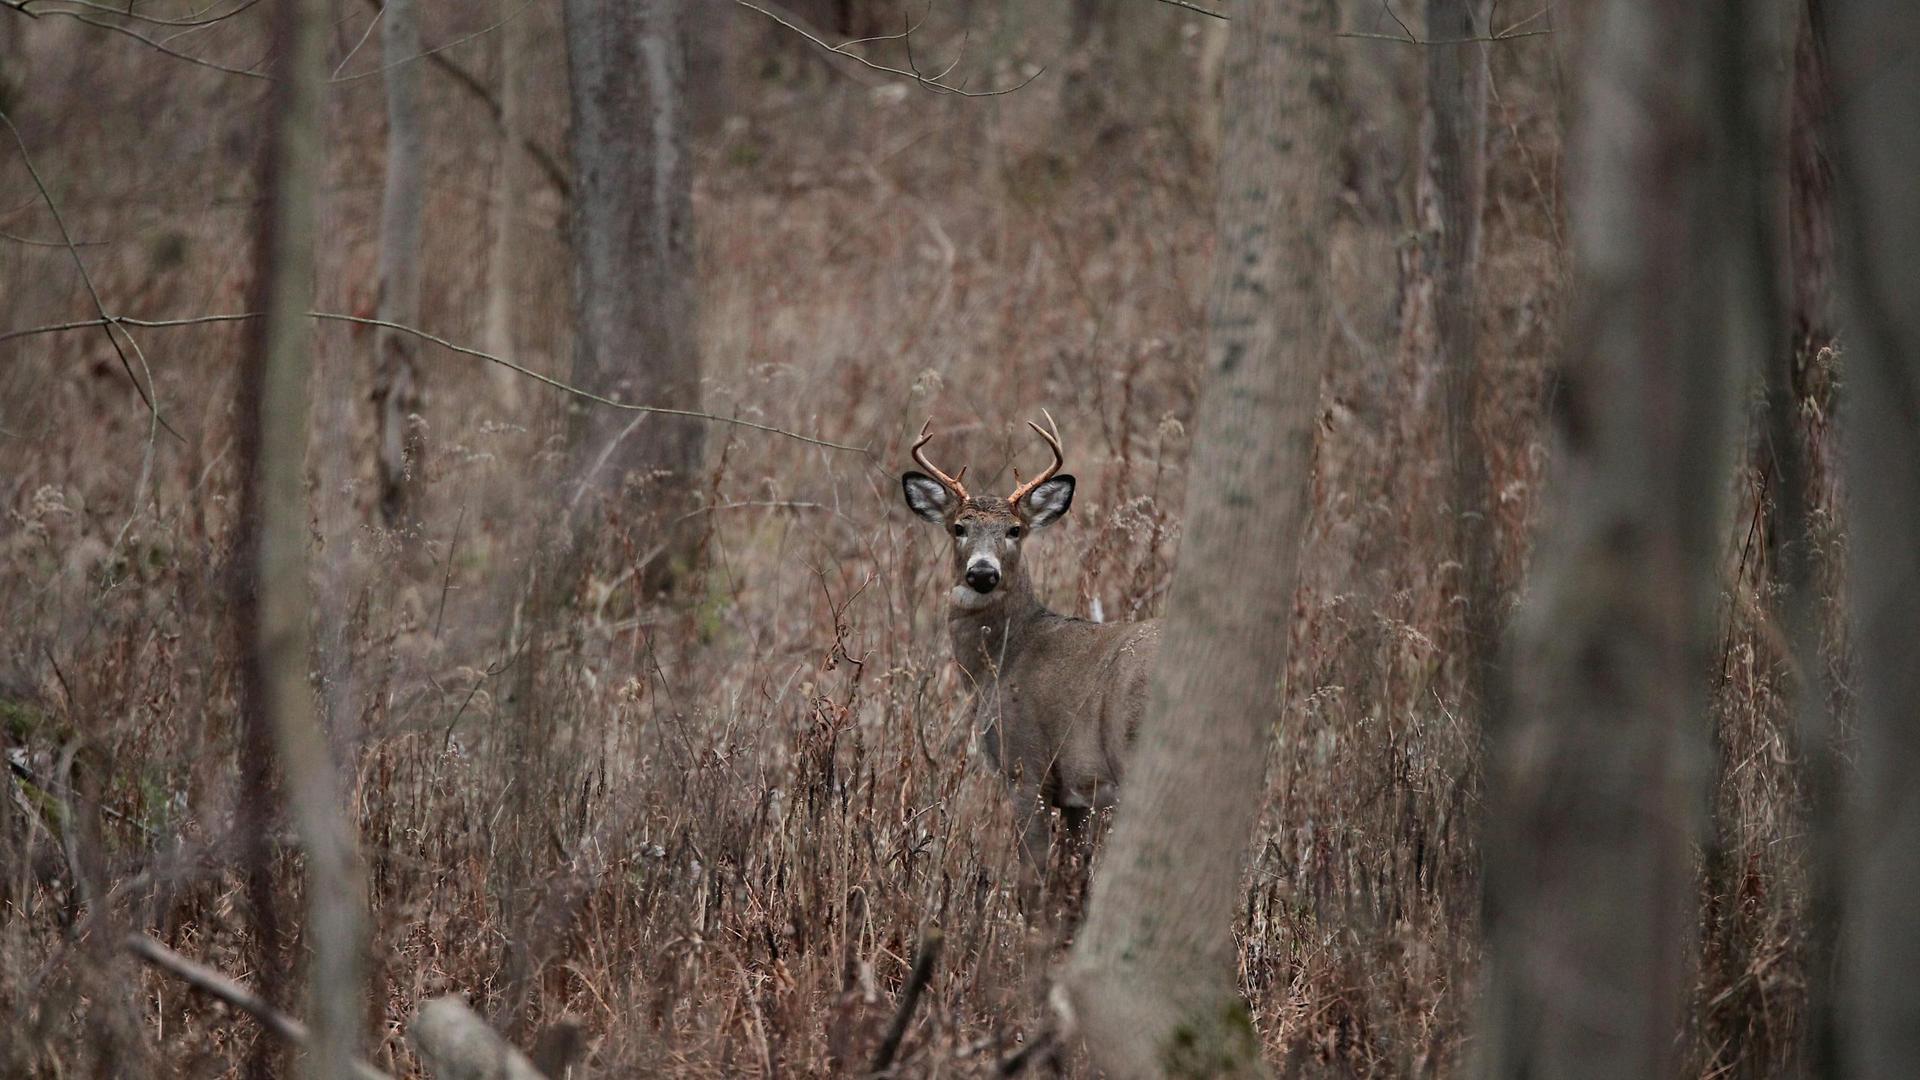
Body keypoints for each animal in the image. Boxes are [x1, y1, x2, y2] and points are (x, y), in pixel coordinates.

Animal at [894, 413, 1152, 883]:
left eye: (1014, 530)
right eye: (959, 527)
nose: (982, 572)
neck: (1003, 659)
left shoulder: (1025, 766)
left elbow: (1034, 874)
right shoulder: (1075, 794)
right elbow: (1073, 878)